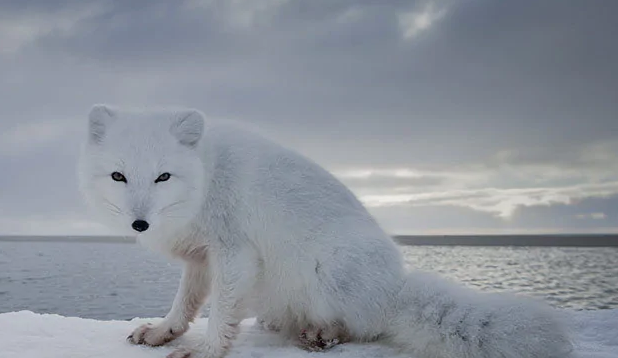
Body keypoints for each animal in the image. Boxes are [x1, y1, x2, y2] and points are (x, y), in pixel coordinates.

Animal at [77, 105, 572, 358]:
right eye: (119, 176)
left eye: (163, 177)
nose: (140, 223)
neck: (206, 177)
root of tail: (394, 288)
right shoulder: (201, 257)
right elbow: (186, 304)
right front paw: (164, 332)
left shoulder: (234, 252)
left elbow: (220, 312)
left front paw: (208, 350)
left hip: (330, 269)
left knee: (363, 327)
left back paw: (323, 334)